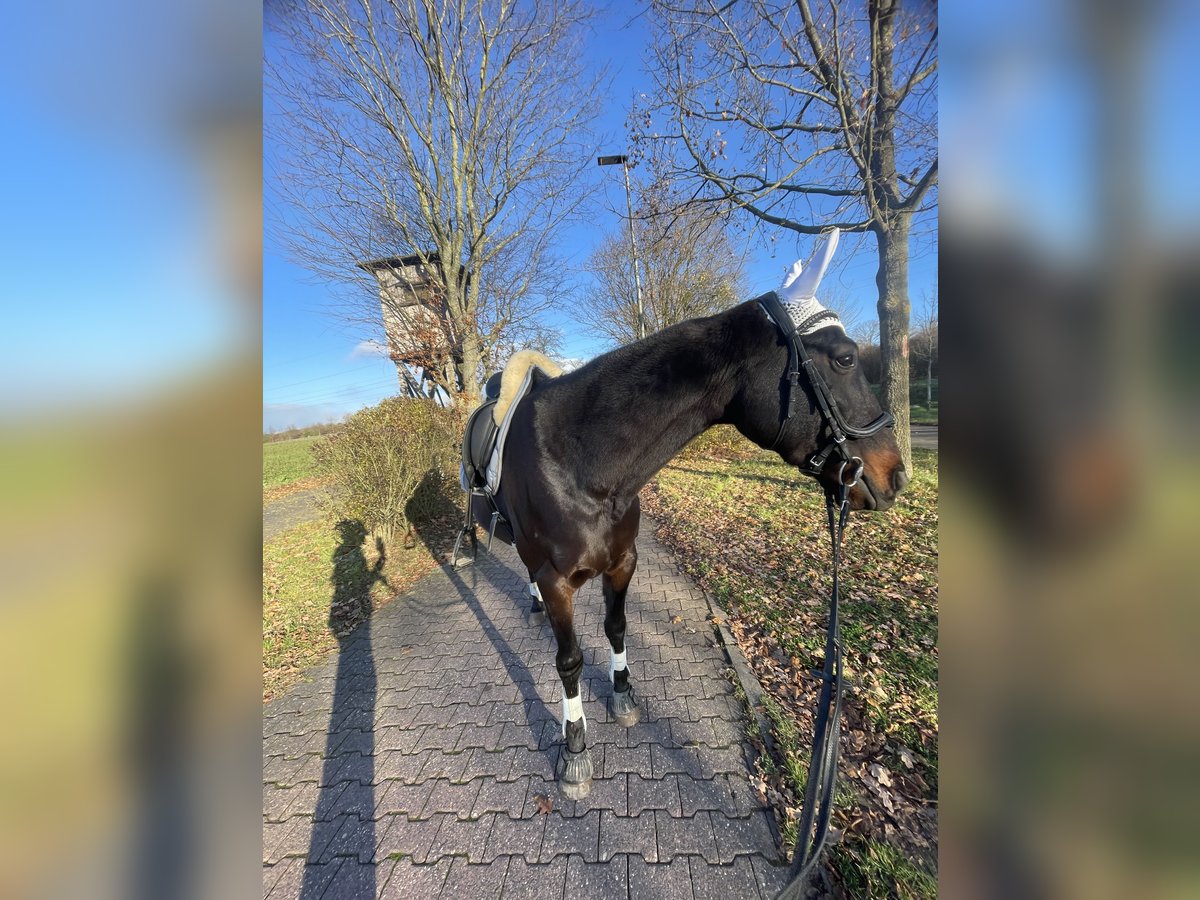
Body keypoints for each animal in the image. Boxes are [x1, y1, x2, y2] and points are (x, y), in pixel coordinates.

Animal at [463, 247, 902, 796]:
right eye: (844, 357)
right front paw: (575, 749)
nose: (896, 474)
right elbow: (569, 660)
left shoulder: (623, 562)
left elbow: (616, 627)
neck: (577, 461)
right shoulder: (558, 579)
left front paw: (623, 697)